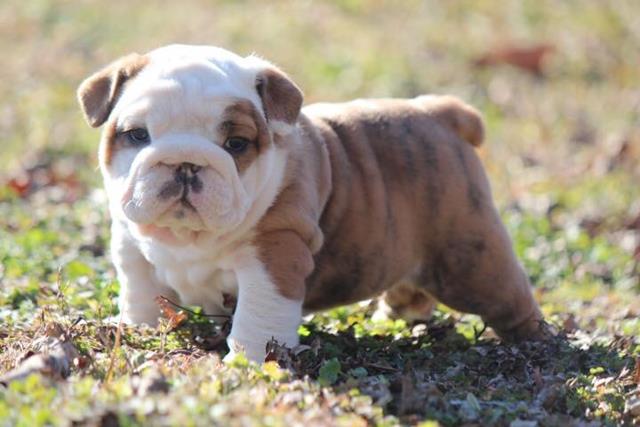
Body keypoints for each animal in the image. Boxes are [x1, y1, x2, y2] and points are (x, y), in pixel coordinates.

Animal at [76, 45, 544, 362]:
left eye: (236, 144)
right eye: (137, 135)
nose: (185, 163)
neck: (188, 240)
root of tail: (441, 112)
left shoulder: (275, 252)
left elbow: (260, 313)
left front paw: (248, 361)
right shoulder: (130, 244)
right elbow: (140, 287)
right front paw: (138, 328)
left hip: (470, 259)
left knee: (508, 298)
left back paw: (536, 343)